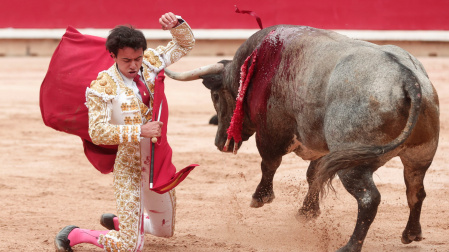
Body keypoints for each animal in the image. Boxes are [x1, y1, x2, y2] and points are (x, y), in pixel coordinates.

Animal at [164, 26, 438, 252]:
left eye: (215, 96)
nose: (220, 143)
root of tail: (408, 80)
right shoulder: (322, 149)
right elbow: (313, 175)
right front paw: (307, 212)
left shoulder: (271, 132)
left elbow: (269, 163)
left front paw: (260, 198)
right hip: (419, 155)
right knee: (416, 191)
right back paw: (411, 234)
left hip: (353, 165)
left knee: (370, 199)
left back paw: (349, 246)